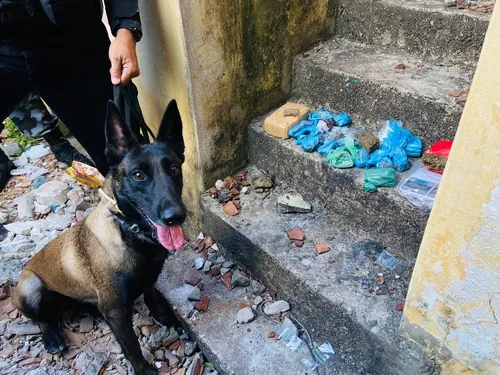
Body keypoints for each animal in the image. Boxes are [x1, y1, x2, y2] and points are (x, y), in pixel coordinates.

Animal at [12, 100, 188, 375]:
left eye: (174, 169)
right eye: (139, 175)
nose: (175, 217)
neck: (130, 233)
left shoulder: (148, 282)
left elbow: (153, 299)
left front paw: (165, 317)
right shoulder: (116, 312)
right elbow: (131, 345)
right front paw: (143, 369)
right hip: (31, 287)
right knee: (43, 318)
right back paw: (51, 336)